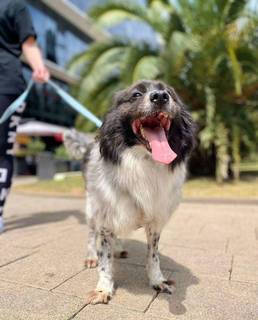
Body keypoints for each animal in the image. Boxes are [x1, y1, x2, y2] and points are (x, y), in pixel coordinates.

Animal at [64, 80, 196, 304]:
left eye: (169, 93)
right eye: (136, 94)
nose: (160, 97)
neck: (143, 163)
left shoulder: (155, 220)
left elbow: (153, 256)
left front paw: (158, 281)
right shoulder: (106, 215)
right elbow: (105, 260)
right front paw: (103, 288)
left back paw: (118, 248)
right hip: (92, 208)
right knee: (91, 234)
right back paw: (91, 256)